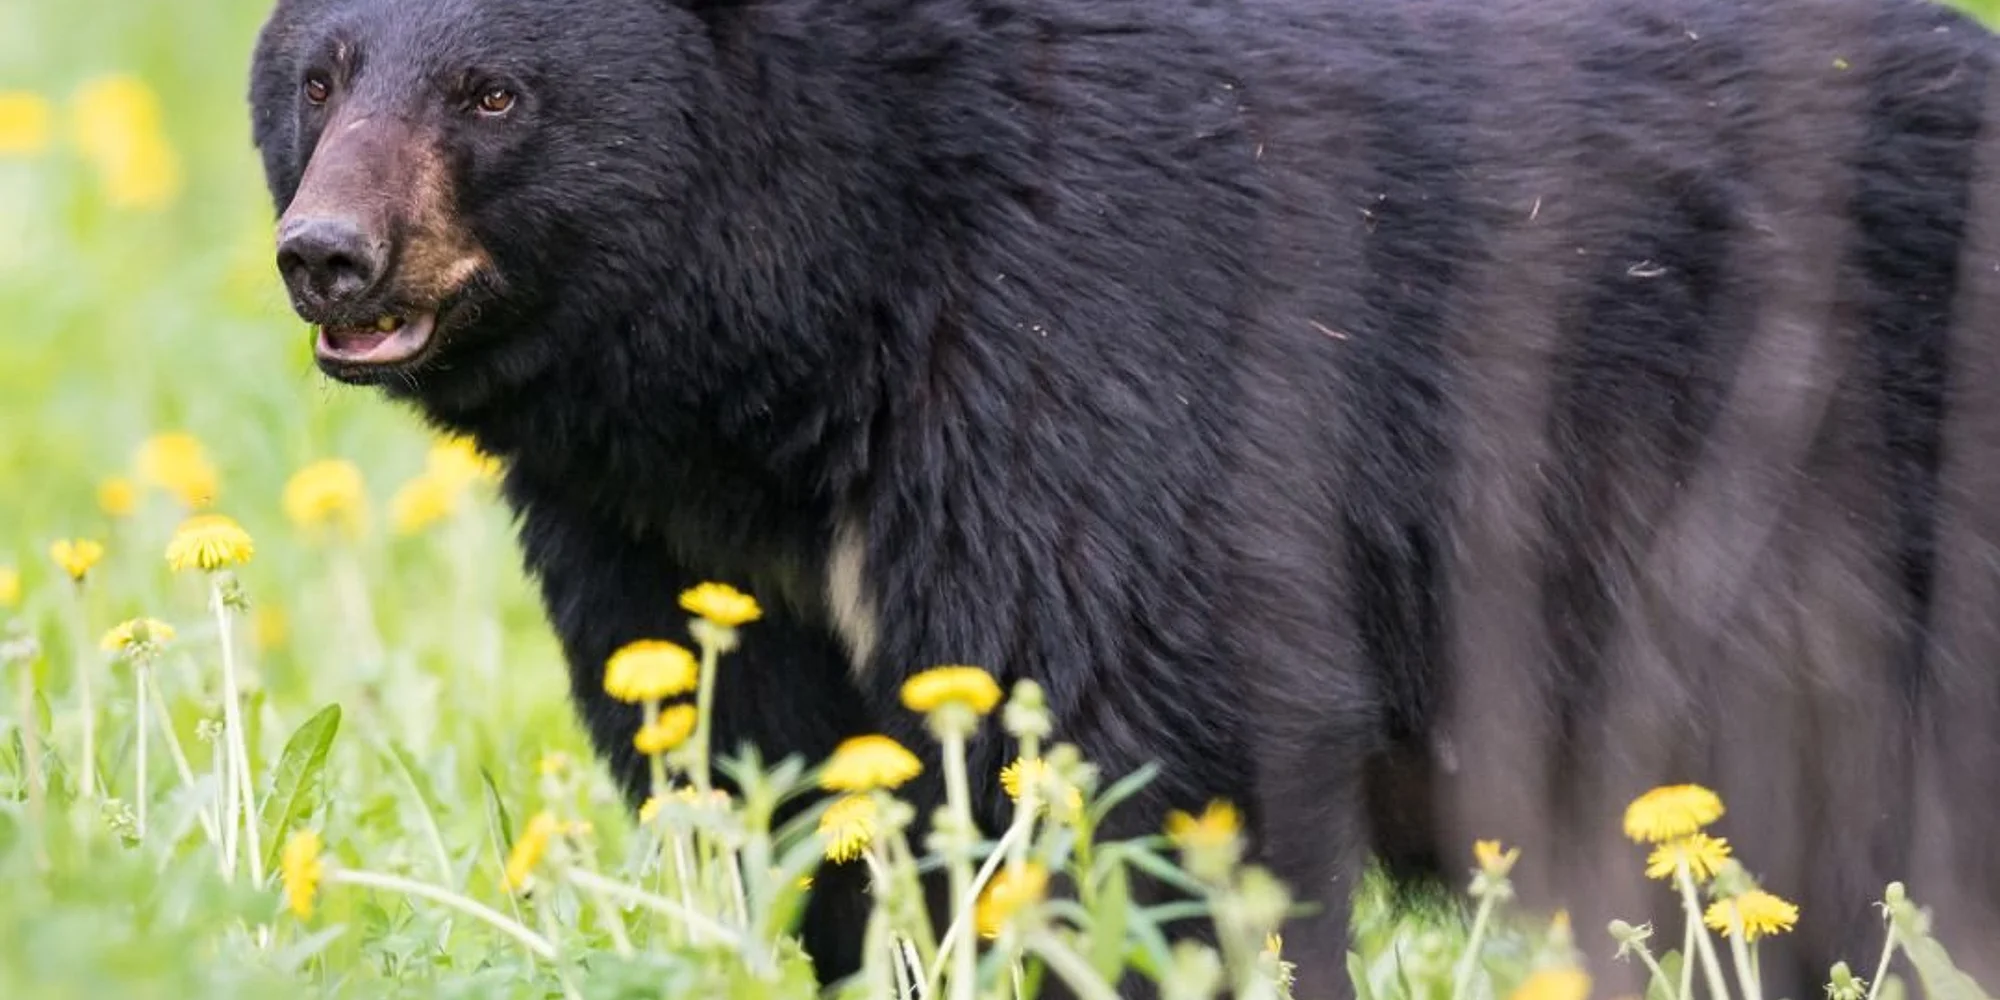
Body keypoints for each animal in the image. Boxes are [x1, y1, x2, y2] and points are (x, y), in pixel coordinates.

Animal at [247, 0, 2000, 997]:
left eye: (492, 94)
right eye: (320, 78)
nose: (328, 254)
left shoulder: (1096, 330)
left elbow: (1163, 730)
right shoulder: (668, 534)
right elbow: (773, 768)